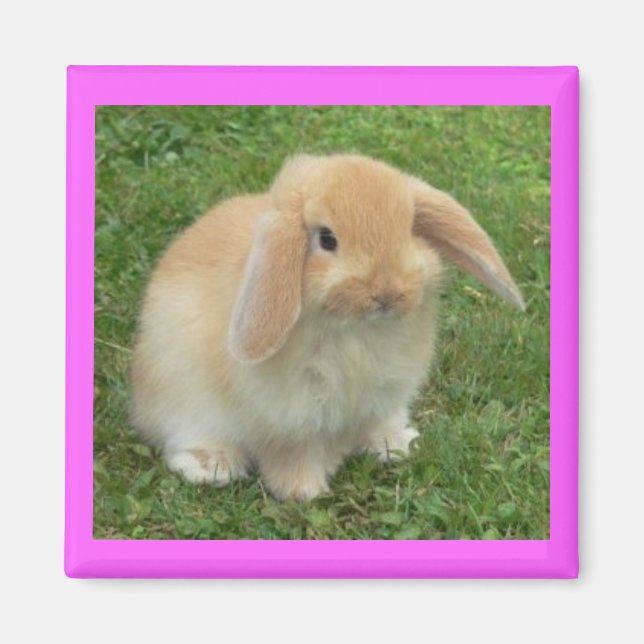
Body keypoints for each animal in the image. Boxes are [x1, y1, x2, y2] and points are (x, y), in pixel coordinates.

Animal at [130, 153, 524, 501]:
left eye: (410, 228)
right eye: (327, 239)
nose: (387, 293)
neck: (356, 330)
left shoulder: (380, 397)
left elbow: (371, 424)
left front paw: (394, 447)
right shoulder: (290, 420)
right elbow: (292, 457)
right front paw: (304, 492)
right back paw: (211, 466)